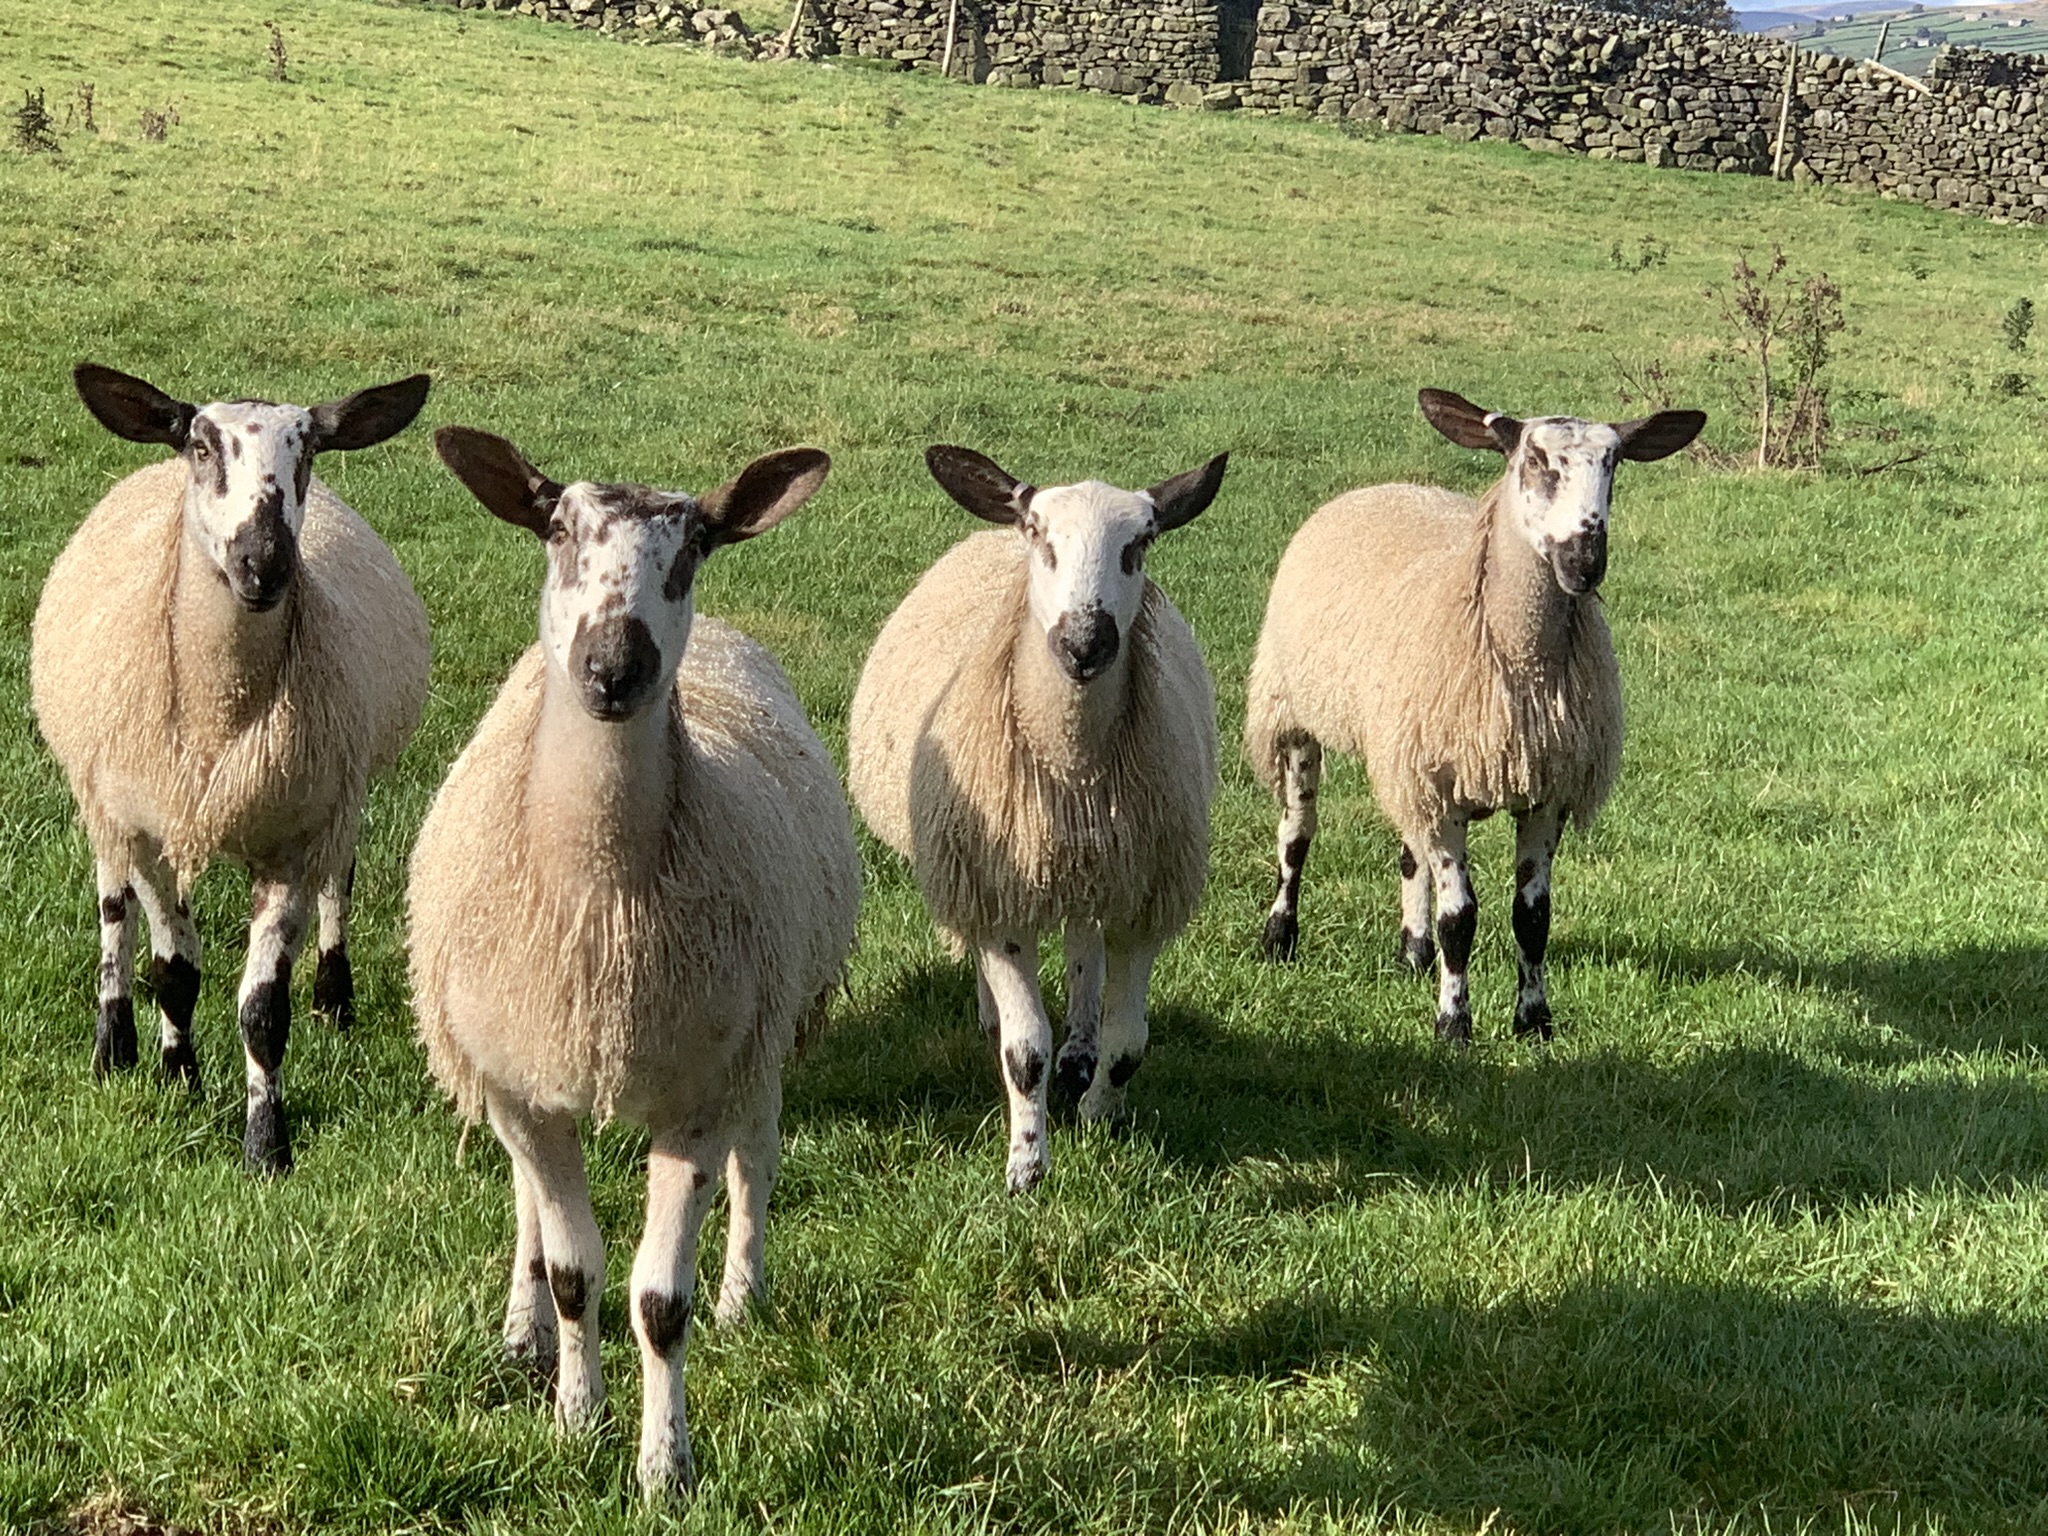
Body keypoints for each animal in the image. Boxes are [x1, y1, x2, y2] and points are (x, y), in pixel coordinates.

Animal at [30, 364, 432, 1179]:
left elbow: (262, 1011)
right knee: (112, 907)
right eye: (202, 445)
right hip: (107, 793)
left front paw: (265, 1146)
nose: (263, 562)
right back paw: (114, 1041)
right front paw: (178, 1079)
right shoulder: (150, 828)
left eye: (307, 449)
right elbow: (175, 973)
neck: (222, 709)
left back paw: (334, 997)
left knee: (342, 877)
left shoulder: (298, 832)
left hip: (340, 784)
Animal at [411, 428, 860, 1499]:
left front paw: (665, 1464)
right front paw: (577, 1417)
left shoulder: (700, 1087)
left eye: (692, 549)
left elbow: (660, 1300)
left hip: (763, 1032)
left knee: (756, 1165)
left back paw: (744, 1296)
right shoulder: (523, 1083)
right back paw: (523, 1327)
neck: (598, 899)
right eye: (556, 530)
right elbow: (576, 1272)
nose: (615, 666)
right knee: (528, 1207)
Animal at [843, 438, 1220, 1196]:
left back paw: (1079, 1049)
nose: (1086, 642)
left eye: (1141, 542)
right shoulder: (995, 891)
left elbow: (1128, 1042)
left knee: (1082, 944)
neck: (1072, 766)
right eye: (1040, 533)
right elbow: (1024, 1053)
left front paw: (1101, 1113)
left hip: (1095, 870)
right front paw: (1026, 1165)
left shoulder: (1142, 896)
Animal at [1236, 391, 1703, 1056]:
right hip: (1294, 710)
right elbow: (1461, 919)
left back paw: (1413, 953)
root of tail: (1388, 487)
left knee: (1409, 854)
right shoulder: (1444, 793)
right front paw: (1454, 1026)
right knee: (1296, 833)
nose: (1585, 562)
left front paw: (1534, 1022)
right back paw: (1280, 935)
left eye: (1614, 463)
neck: (1522, 660)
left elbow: (1532, 918)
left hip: (1406, 750)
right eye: (1533, 459)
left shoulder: (1543, 792)